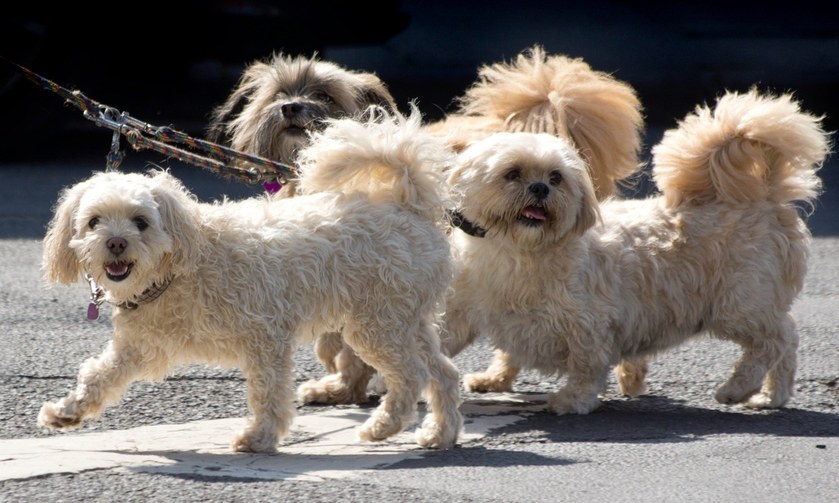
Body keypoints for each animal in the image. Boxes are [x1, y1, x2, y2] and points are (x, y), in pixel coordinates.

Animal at [37, 106, 466, 452]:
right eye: (93, 221)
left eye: (141, 222)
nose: (115, 243)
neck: (181, 268)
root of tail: (410, 208)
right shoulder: (142, 346)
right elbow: (99, 375)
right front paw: (66, 412)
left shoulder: (265, 340)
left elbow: (268, 393)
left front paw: (259, 438)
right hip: (407, 322)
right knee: (443, 374)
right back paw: (439, 435)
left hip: (376, 325)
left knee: (412, 375)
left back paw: (383, 427)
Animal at [442, 88, 832, 416]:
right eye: (512, 173)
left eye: (556, 177)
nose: (539, 188)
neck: (519, 250)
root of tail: (765, 196)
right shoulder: (467, 308)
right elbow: (473, 343)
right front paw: (492, 379)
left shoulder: (589, 325)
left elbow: (586, 367)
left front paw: (572, 400)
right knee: (786, 343)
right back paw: (772, 395)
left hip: (740, 305)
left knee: (775, 341)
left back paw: (737, 389)